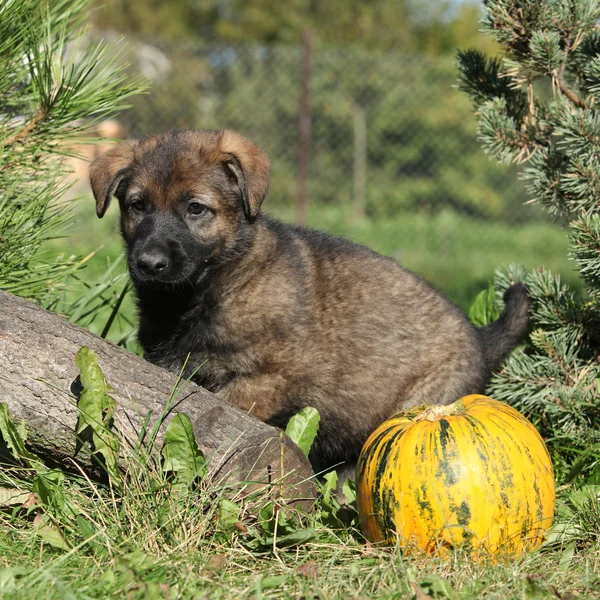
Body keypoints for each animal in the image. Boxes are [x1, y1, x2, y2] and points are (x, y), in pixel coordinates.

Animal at [89, 129, 528, 476]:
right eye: (137, 206)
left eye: (196, 209)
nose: (149, 263)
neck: (215, 286)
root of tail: (480, 339)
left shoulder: (268, 380)